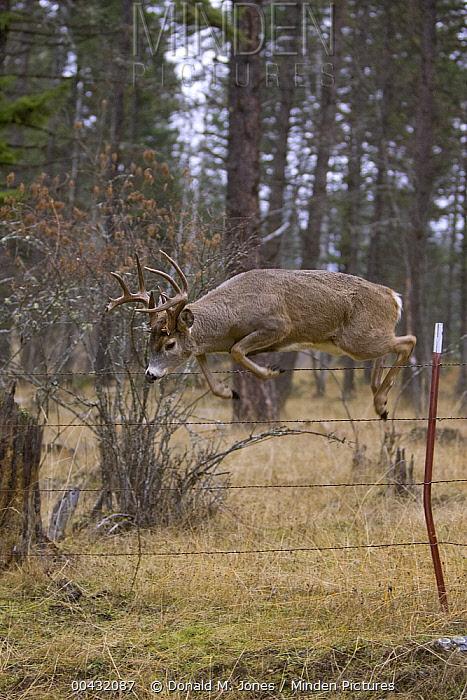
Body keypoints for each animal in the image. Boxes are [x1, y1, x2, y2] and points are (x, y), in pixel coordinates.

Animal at [106, 252, 416, 420]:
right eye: (150, 340)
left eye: (169, 343)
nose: (150, 374)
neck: (231, 317)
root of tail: (393, 296)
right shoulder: (211, 344)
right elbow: (204, 360)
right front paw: (228, 392)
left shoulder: (278, 326)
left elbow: (236, 352)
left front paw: (271, 372)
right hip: (361, 341)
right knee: (390, 348)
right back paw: (378, 394)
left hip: (357, 340)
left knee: (407, 341)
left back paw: (381, 403)